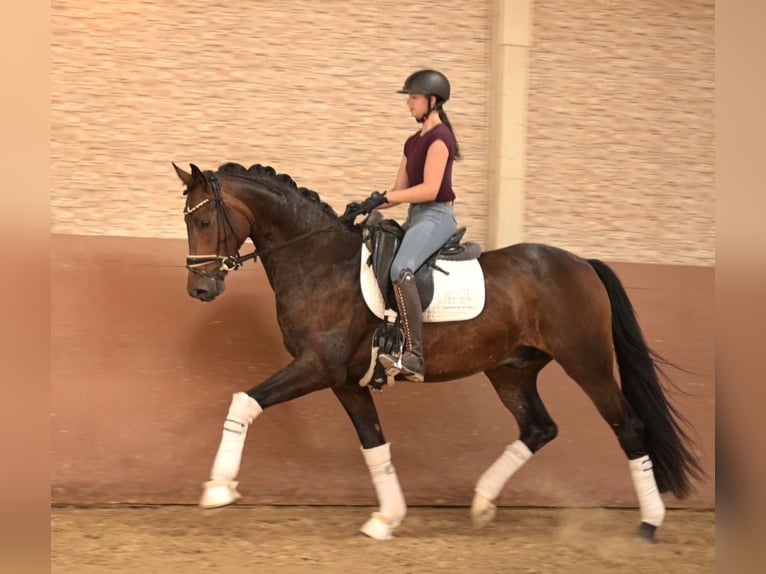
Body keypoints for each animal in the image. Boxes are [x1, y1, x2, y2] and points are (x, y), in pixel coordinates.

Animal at [173, 161, 704, 542]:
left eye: (204, 219)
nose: (200, 290)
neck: (319, 262)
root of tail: (582, 263)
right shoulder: (345, 380)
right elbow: (374, 444)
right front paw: (387, 518)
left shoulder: (316, 366)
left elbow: (244, 401)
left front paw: (218, 488)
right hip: (510, 370)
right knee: (538, 427)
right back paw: (483, 501)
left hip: (586, 362)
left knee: (628, 427)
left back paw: (649, 523)